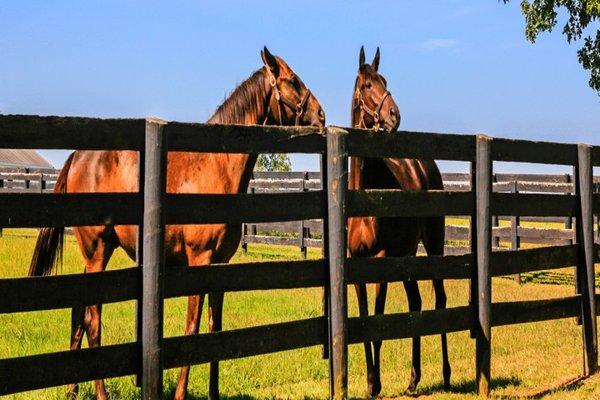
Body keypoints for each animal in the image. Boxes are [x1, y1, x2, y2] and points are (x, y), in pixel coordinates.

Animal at [28, 47, 326, 400]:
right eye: (292, 80)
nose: (321, 116)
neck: (215, 166)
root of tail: (77, 158)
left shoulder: (221, 265)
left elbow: (215, 330)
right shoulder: (199, 261)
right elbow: (192, 331)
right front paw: (181, 393)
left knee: (80, 313)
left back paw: (73, 389)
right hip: (97, 251)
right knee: (92, 319)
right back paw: (100, 393)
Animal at [346, 47, 450, 396]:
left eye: (385, 81)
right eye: (367, 85)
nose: (395, 116)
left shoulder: (380, 259)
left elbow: (378, 323)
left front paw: (375, 384)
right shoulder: (356, 263)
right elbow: (364, 321)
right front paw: (369, 382)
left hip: (433, 245)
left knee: (440, 300)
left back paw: (446, 374)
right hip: (406, 254)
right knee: (415, 303)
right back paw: (413, 379)